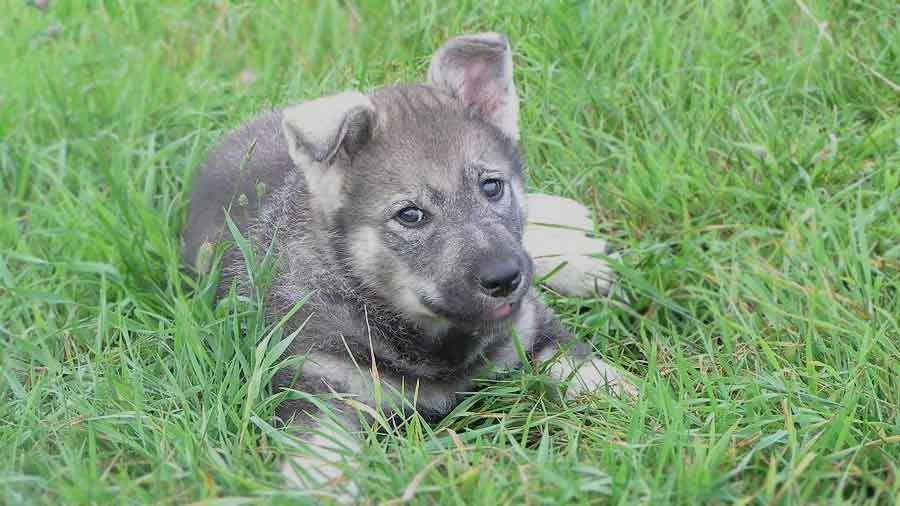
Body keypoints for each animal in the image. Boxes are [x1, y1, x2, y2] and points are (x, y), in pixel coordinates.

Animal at [183, 32, 636, 494]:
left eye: (492, 187)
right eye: (411, 215)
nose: (506, 278)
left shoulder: (532, 327)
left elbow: (591, 372)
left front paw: (638, 398)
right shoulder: (320, 385)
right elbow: (322, 457)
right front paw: (320, 488)